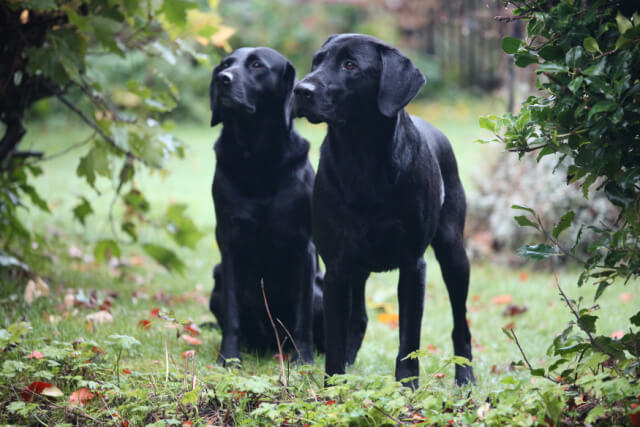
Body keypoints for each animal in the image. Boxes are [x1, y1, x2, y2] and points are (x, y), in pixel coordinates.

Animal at [208, 48, 322, 366]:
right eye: (226, 64)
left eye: (257, 65)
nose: (222, 79)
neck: (257, 158)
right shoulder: (229, 245)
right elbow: (232, 314)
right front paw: (228, 358)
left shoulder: (305, 247)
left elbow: (303, 317)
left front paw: (304, 359)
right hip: (217, 282)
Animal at [292, 33, 472, 388]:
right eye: (317, 60)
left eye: (350, 65)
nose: (301, 90)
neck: (362, 159)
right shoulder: (336, 267)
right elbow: (335, 337)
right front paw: (334, 385)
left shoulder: (412, 264)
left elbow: (409, 338)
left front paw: (408, 387)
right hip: (357, 268)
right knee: (358, 319)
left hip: (454, 253)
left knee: (462, 325)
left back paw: (466, 377)